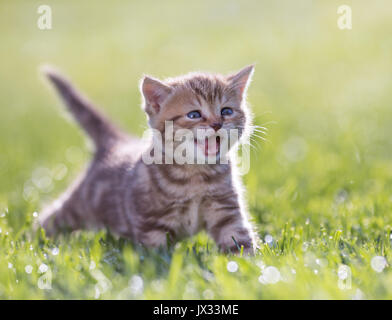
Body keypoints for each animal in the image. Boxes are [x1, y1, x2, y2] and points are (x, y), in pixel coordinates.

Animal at [39, 65, 260, 254]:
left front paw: (249, 265)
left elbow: (238, 239)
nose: (216, 124)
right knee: (50, 218)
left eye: (226, 111)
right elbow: (156, 253)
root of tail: (116, 144)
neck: (196, 175)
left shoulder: (226, 210)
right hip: (79, 206)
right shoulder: (151, 223)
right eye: (194, 114)